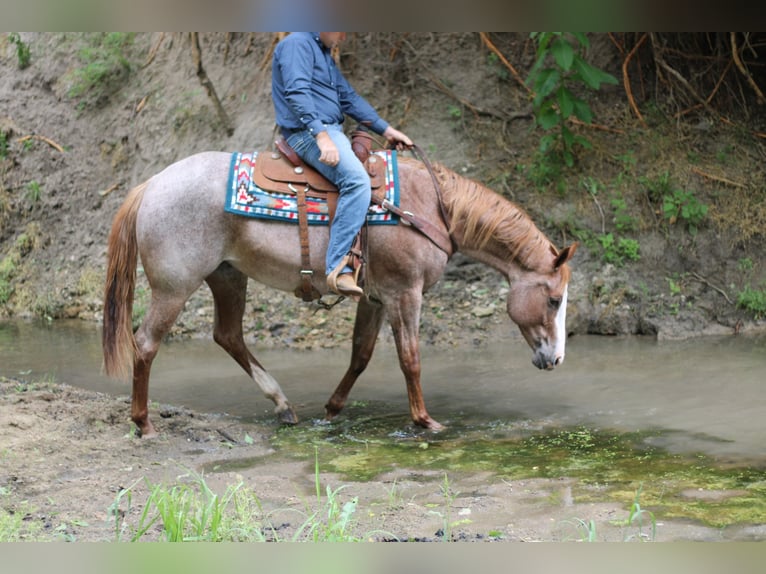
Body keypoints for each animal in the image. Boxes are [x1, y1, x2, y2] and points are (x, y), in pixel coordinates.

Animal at [102, 151, 576, 438]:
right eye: (554, 300)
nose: (555, 359)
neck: (427, 207)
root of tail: (151, 185)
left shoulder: (375, 298)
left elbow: (361, 355)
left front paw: (331, 410)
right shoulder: (405, 294)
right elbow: (411, 359)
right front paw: (425, 421)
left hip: (227, 276)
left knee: (228, 335)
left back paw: (283, 405)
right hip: (174, 287)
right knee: (146, 343)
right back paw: (143, 423)